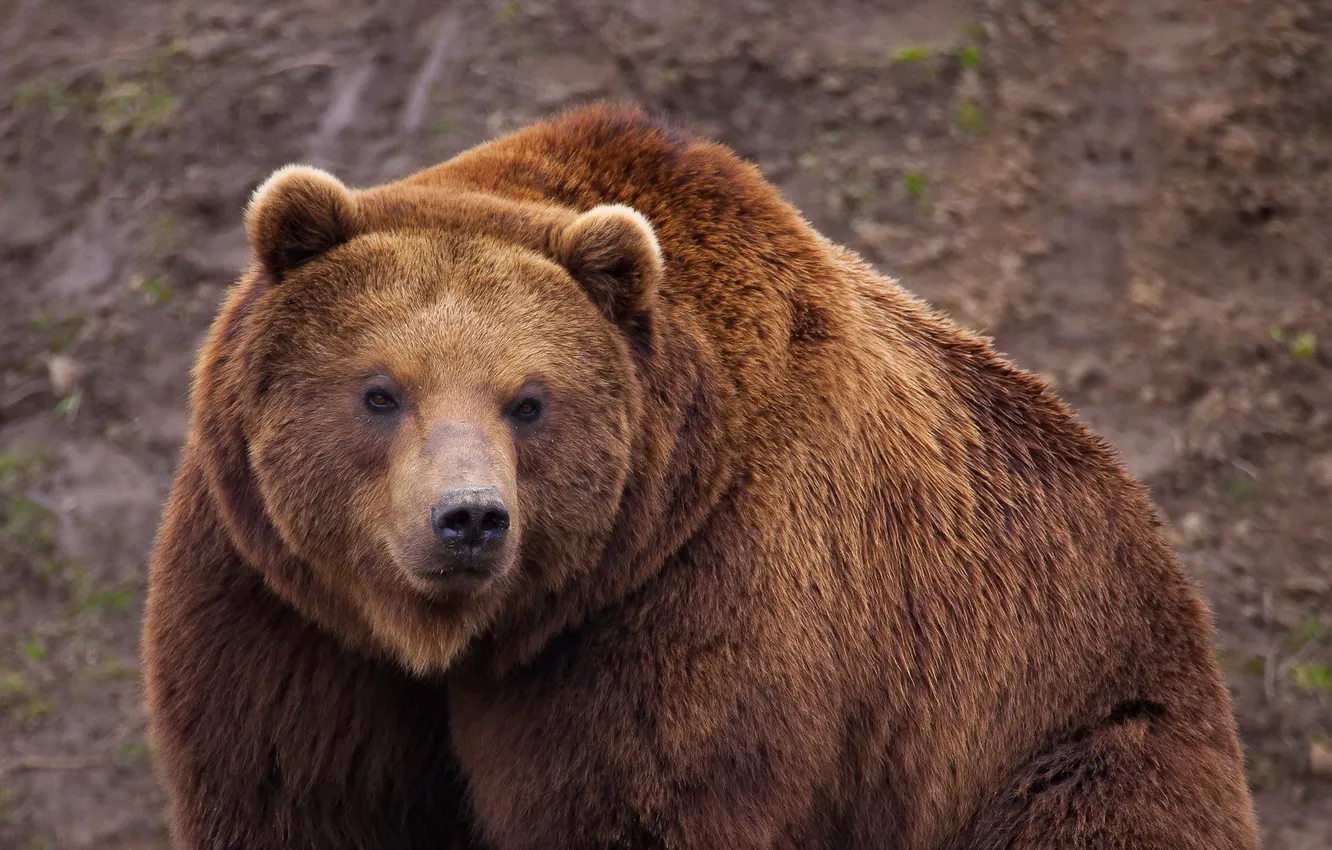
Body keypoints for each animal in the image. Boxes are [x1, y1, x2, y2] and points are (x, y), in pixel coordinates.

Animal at [143, 102, 1261, 850]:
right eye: (381, 391)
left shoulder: (690, 599)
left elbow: (635, 800)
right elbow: (294, 791)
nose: (469, 519)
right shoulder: (284, 607)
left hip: (1050, 728)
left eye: (529, 400)